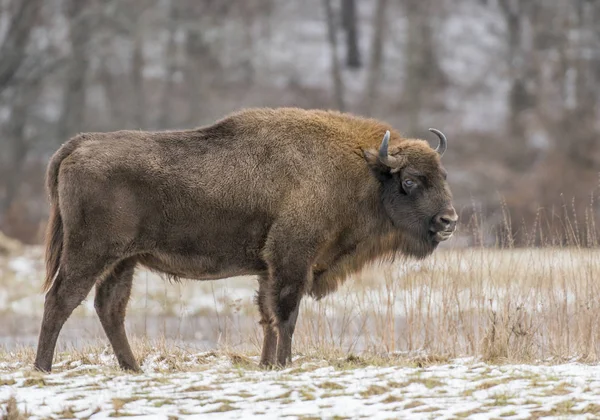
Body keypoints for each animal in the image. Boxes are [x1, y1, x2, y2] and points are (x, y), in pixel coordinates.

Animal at [35, 107, 458, 370]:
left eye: (443, 176)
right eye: (409, 181)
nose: (449, 220)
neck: (362, 169)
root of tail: (80, 144)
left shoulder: (267, 269)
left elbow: (268, 316)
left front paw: (267, 364)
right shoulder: (291, 259)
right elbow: (285, 314)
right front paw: (284, 363)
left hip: (123, 261)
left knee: (110, 308)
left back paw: (133, 369)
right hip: (90, 254)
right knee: (60, 300)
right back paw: (44, 369)